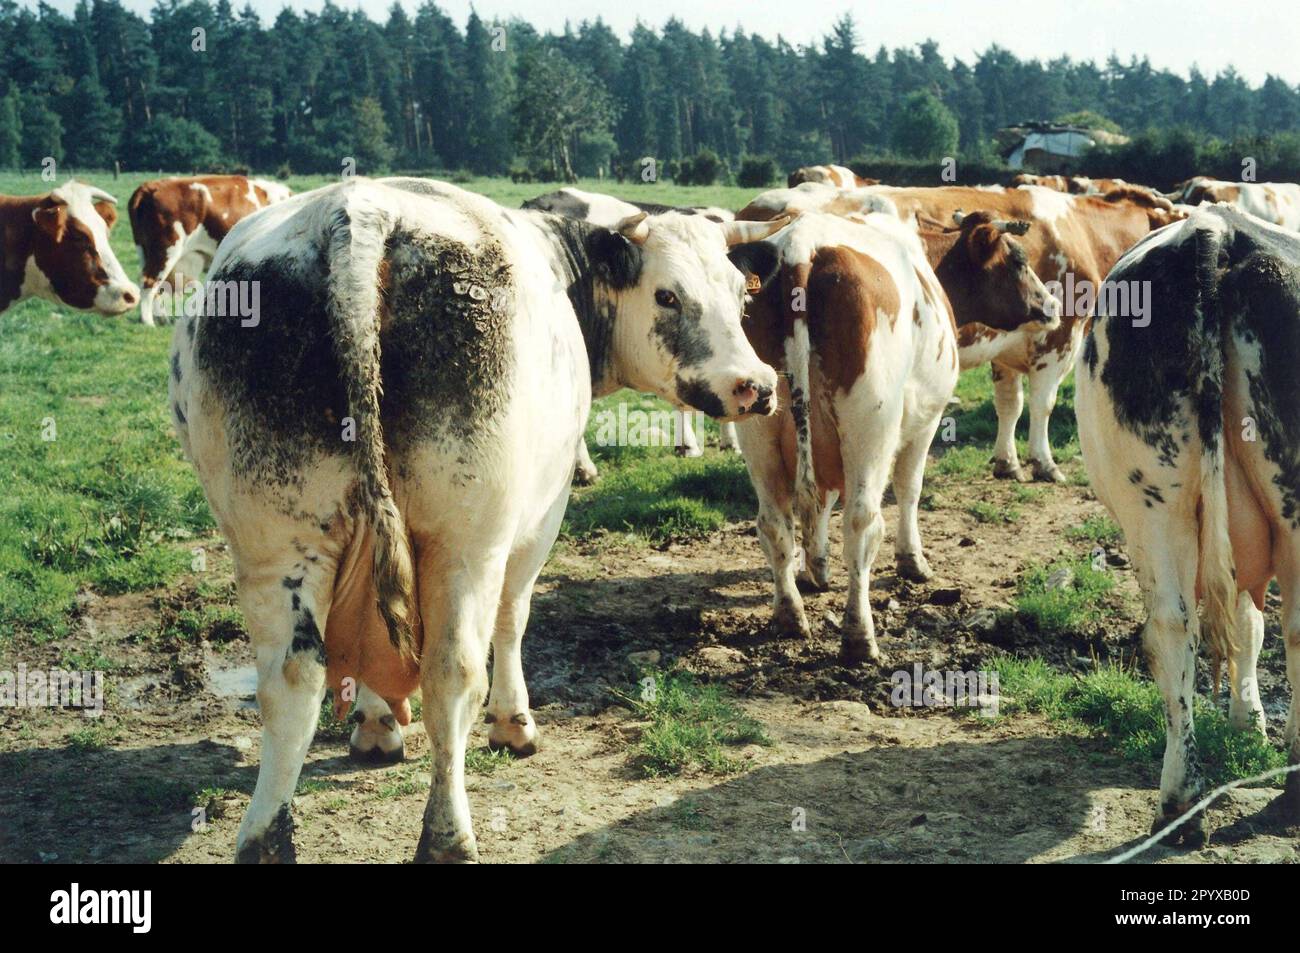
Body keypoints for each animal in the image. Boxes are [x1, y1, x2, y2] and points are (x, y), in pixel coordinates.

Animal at [126, 175, 289, 327]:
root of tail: (149, 186)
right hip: (166, 250)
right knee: (149, 282)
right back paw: (148, 322)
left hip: (146, 252)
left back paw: (161, 319)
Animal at [172, 174, 780, 858]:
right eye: (667, 295)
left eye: (739, 292)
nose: (755, 385)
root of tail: (358, 211)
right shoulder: (540, 515)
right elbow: (513, 619)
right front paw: (514, 723)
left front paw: (377, 724)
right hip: (467, 540)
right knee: (451, 673)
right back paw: (448, 835)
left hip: (277, 544)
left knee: (292, 681)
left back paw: (264, 842)